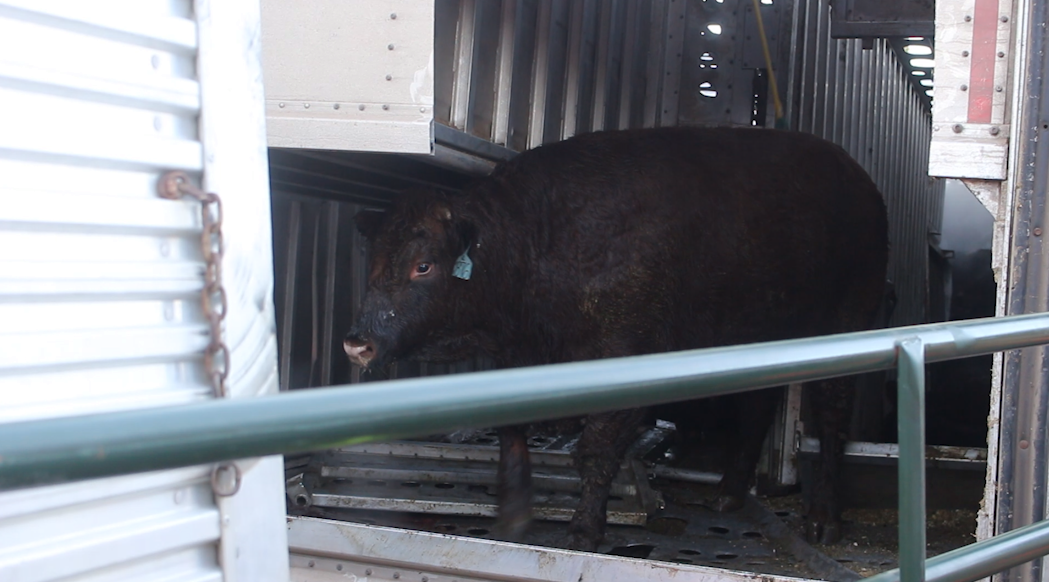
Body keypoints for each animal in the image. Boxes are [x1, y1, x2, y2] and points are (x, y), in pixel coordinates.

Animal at [343, 126, 889, 550]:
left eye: (423, 265)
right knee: (758, 402)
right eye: (371, 263)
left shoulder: (626, 355)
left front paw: (584, 530)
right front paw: (514, 515)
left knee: (833, 412)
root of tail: (861, 182)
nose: (357, 342)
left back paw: (823, 520)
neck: (538, 240)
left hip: (846, 323)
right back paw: (730, 493)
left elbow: (597, 445)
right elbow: (512, 431)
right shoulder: (515, 358)